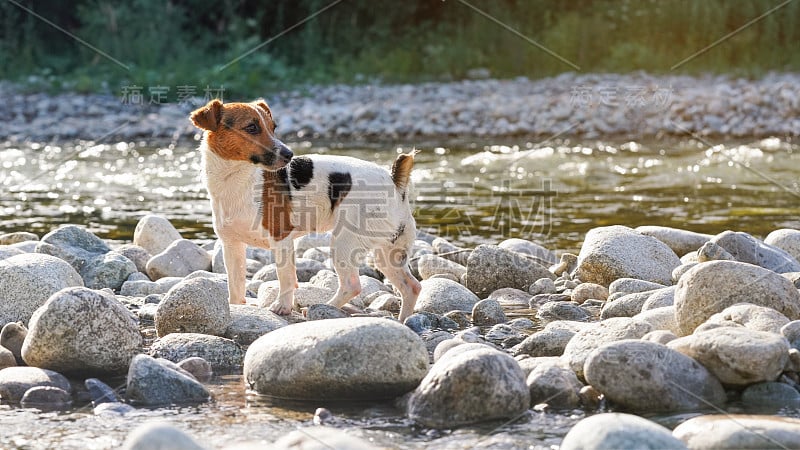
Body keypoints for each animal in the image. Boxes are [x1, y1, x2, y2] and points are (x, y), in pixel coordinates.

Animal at [190, 100, 422, 322]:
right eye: (252, 127)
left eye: (273, 127)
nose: (289, 155)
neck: (237, 179)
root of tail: (393, 182)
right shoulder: (232, 245)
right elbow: (235, 284)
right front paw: (237, 308)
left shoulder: (282, 239)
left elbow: (286, 278)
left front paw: (282, 307)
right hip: (388, 253)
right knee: (411, 287)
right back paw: (403, 321)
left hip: (344, 243)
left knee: (352, 284)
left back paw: (324, 307)